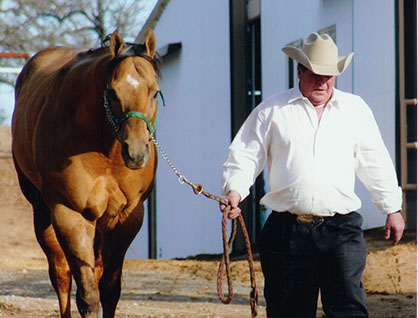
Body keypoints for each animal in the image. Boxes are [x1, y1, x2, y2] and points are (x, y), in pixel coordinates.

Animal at [11, 28, 162, 316]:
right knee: (60, 275)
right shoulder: (70, 215)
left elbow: (110, 291)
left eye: (155, 93)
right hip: (43, 212)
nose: (136, 152)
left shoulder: (128, 218)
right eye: (112, 92)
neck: (107, 154)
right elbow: (88, 296)